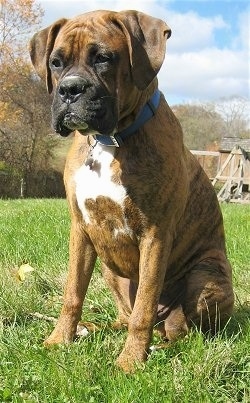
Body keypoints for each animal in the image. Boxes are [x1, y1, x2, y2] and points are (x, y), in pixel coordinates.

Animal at [29, 9, 234, 374]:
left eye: (104, 58)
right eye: (55, 62)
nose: (69, 90)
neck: (108, 141)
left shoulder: (155, 234)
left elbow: (145, 306)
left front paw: (130, 361)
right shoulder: (81, 231)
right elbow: (72, 294)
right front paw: (59, 340)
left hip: (206, 275)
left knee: (179, 328)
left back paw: (160, 343)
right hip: (111, 271)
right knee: (128, 316)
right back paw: (96, 329)